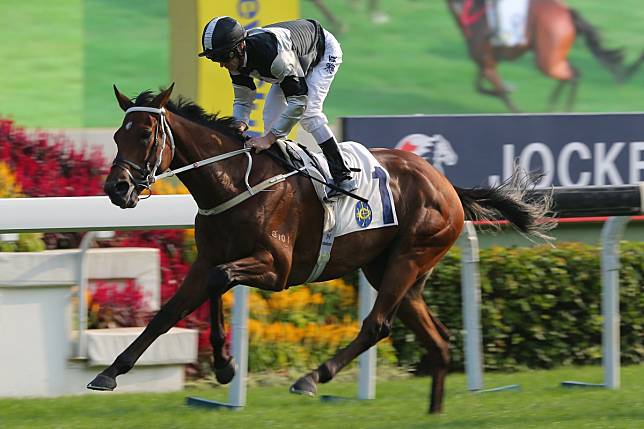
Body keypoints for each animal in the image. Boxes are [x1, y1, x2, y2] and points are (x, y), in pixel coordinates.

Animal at [90, 83, 552, 412]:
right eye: (115, 135)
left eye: (146, 134)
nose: (117, 188)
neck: (236, 182)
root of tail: (448, 185)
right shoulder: (208, 258)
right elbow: (172, 311)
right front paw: (113, 373)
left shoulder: (276, 268)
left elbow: (220, 282)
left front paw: (225, 364)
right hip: (391, 270)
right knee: (436, 340)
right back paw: (434, 413)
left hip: (409, 257)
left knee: (377, 325)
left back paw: (313, 377)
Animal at [446, 0, 640, 112]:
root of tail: (568, 12)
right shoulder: (486, 62)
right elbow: (481, 88)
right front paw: (510, 88)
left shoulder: (487, 63)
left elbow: (502, 95)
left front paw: (511, 95)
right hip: (554, 56)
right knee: (571, 73)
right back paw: (552, 106)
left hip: (546, 61)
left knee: (574, 75)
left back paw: (564, 109)